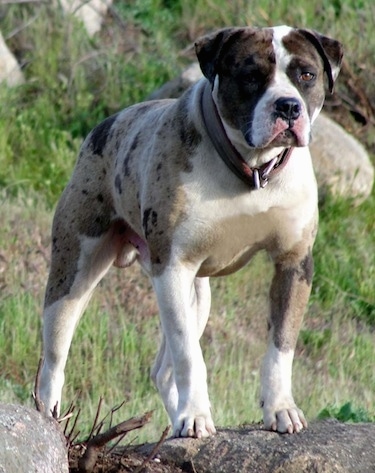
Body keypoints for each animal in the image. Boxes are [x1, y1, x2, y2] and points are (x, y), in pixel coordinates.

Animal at [39, 25, 344, 436]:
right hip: (72, 277)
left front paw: (280, 408)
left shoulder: (293, 264)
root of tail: (105, 125)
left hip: (198, 296)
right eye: (251, 77)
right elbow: (189, 354)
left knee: (162, 372)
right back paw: (49, 419)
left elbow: (280, 348)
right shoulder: (172, 268)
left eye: (307, 75)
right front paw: (195, 415)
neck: (251, 170)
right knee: (54, 358)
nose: (288, 106)